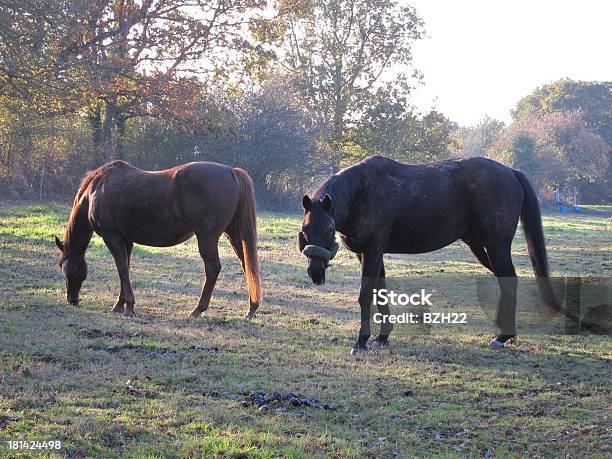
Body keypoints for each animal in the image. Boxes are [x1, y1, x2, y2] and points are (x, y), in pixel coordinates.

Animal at [53, 163, 262, 320]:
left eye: (62, 265)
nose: (72, 300)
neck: (95, 190)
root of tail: (230, 171)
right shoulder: (126, 240)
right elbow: (125, 270)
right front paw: (120, 304)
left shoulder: (112, 237)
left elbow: (122, 270)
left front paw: (129, 306)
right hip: (234, 234)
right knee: (247, 265)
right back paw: (251, 308)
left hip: (207, 238)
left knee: (213, 269)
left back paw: (198, 310)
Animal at [298, 156, 560, 354]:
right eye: (305, 230)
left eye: (329, 229)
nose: (315, 272)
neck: (362, 193)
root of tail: (510, 172)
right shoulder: (370, 253)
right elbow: (380, 292)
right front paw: (382, 337)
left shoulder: (373, 250)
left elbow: (365, 295)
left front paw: (360, 342)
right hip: (480, 246)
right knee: (505, 280)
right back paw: (502, 330)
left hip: (496, 245)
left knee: (509, 279)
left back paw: (503, 335)